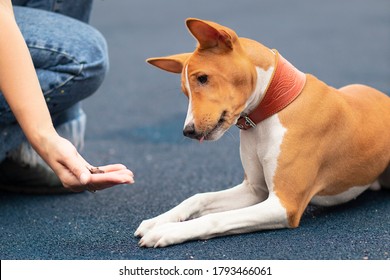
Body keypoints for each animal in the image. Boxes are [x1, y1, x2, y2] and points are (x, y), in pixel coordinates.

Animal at [135, 18, 390, 247]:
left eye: (203, 78)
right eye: (184, 92)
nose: (187, 131)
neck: (271, 112)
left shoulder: (283, 204)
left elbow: (216, 218)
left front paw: (168, 231)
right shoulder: (254, 190)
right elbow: (198, 198)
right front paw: (158, 221)